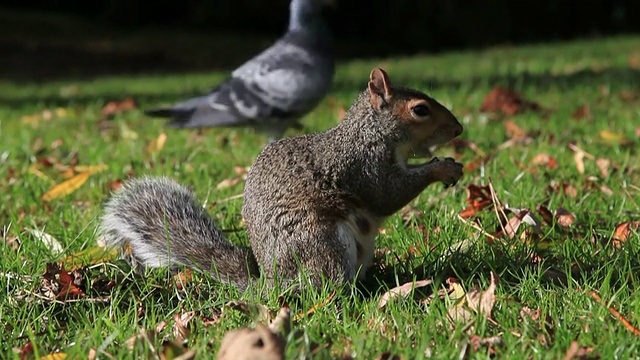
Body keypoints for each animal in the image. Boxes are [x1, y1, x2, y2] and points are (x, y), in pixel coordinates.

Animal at [97, 67, 462, 292]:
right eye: (420, 110)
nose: (459, 129)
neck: (370, 133)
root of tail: (270, 285)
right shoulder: (363, 168)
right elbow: (389, 194)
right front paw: (442, 168)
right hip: (321, 243)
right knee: (325, 285)